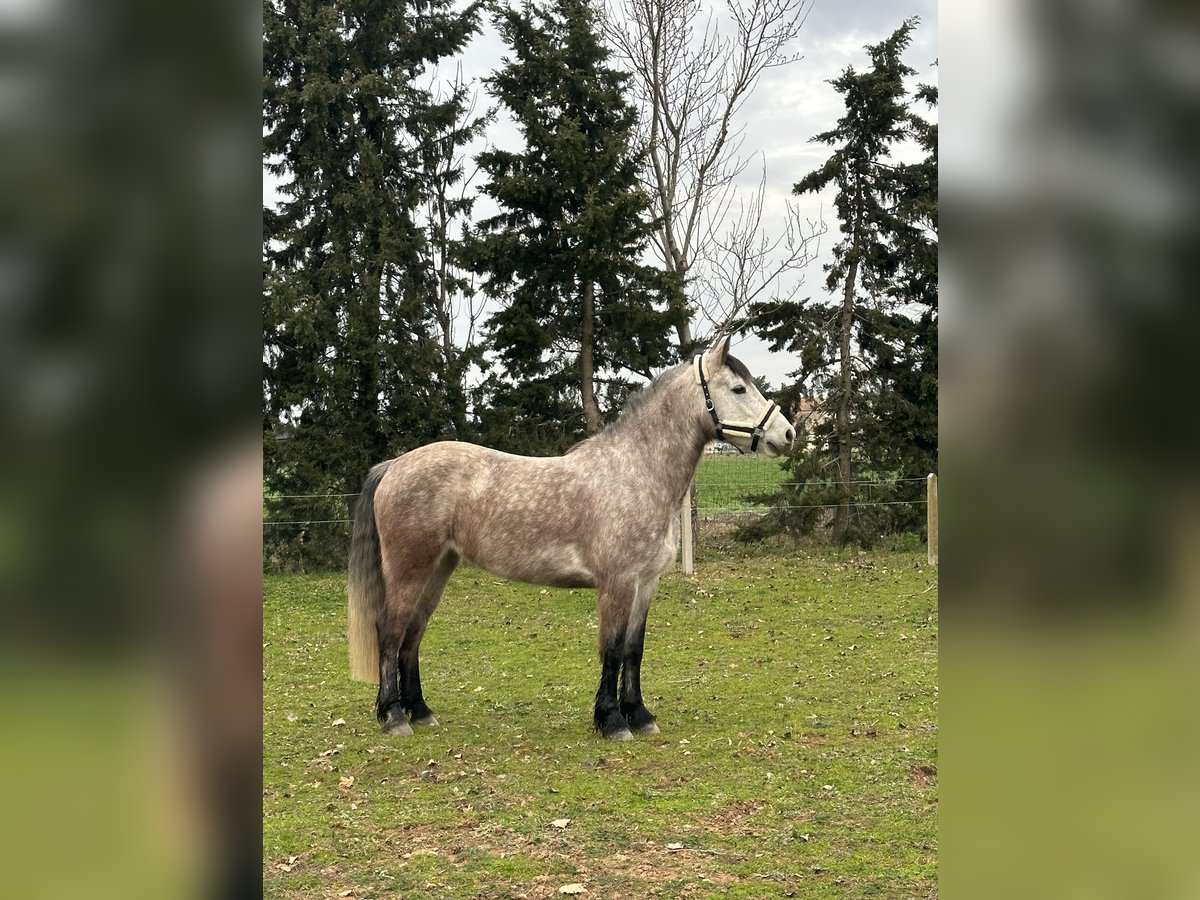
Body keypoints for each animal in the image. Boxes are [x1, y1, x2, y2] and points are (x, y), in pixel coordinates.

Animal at [350, 336, 796, 739]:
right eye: (738, 389)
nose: (788, 433)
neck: (636, 471)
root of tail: (394, 466)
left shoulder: (646, 583)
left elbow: (634, 649)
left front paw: (640, 715)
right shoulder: (617, 583)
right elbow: (612, 649)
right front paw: (612, 721)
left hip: (438, 569)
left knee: (412, 635)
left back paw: (421, 711)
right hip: (409, 570)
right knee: (390, 632)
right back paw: (394, 717)